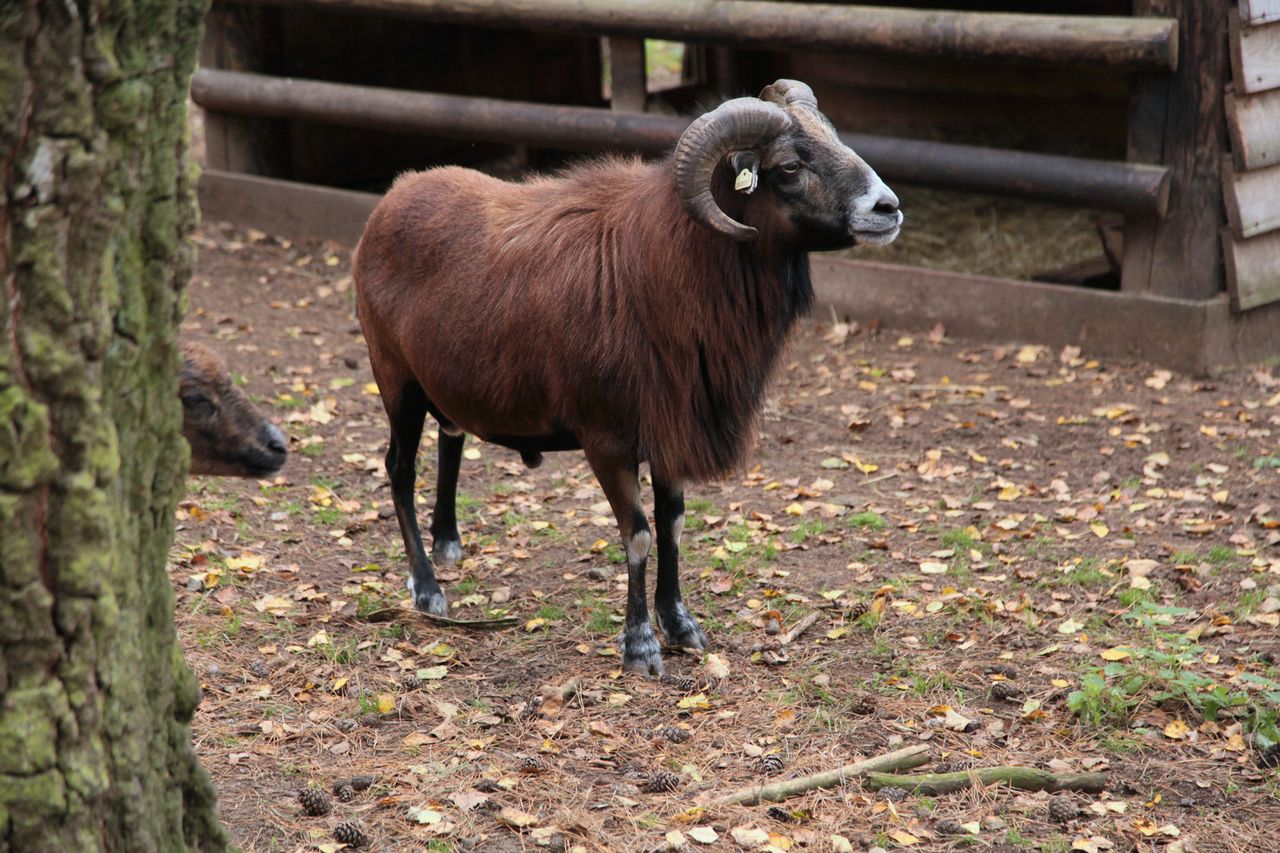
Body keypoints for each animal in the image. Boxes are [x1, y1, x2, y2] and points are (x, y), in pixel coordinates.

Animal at [358, 78, 901, 671]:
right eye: (789, 165)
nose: (889, 208)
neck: (661, 272)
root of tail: (394, 196)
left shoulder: (672, 431)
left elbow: (674, 524)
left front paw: (681, 626)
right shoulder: (607, 441)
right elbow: (638, 534)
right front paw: (640, 646)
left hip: (443, 382)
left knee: (452, 437)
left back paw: (449, 544)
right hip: (396, 381)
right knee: (399, 468)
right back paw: (428, 589)